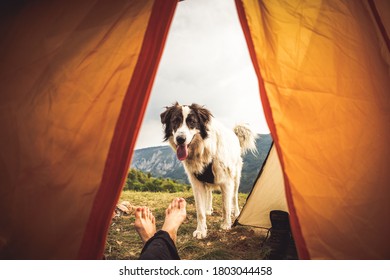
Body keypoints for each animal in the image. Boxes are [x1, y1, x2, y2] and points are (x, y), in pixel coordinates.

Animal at [160, 103, 258, 238]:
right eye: (175, 121)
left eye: (192, 122)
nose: (180, 139)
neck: (202, 149)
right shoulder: (196, 182)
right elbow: (200, 211)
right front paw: (201, 230)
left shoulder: (226, 181)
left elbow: (225, 206)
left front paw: (226, 224)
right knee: (209, 193)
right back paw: (208, 209)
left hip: (236, 177)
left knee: (234, 196)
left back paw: (236, 212)